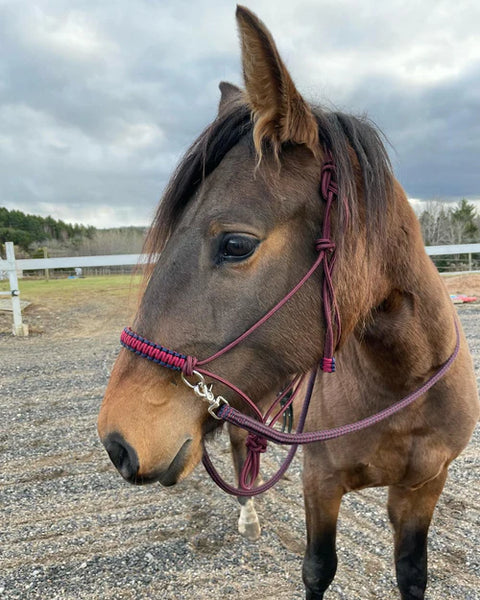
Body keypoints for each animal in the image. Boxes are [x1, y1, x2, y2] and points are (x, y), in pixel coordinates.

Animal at [96, 5, 476, 600]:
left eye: (236, 244)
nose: (117, 441)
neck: (403, 385)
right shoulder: (321, 483)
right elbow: (318, 568)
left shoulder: (423, 487)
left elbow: (412, 573)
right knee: (238, 445)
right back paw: (249, 515)